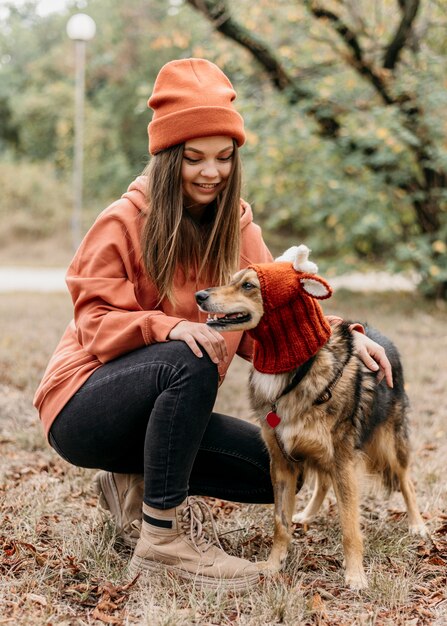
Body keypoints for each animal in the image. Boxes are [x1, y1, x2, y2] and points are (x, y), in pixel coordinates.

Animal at [195, 245, 428, 588]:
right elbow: (280, 522)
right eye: (232, 279)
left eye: (248, 285)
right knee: (324, 482)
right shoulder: (282, 462)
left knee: (405, 479)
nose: (199, 295)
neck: (294, 371)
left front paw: (355, 575)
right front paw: (273, 565)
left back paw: (417, 524)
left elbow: (349, 525)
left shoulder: (343, 460)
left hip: (388, 443)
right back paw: (306, 515)